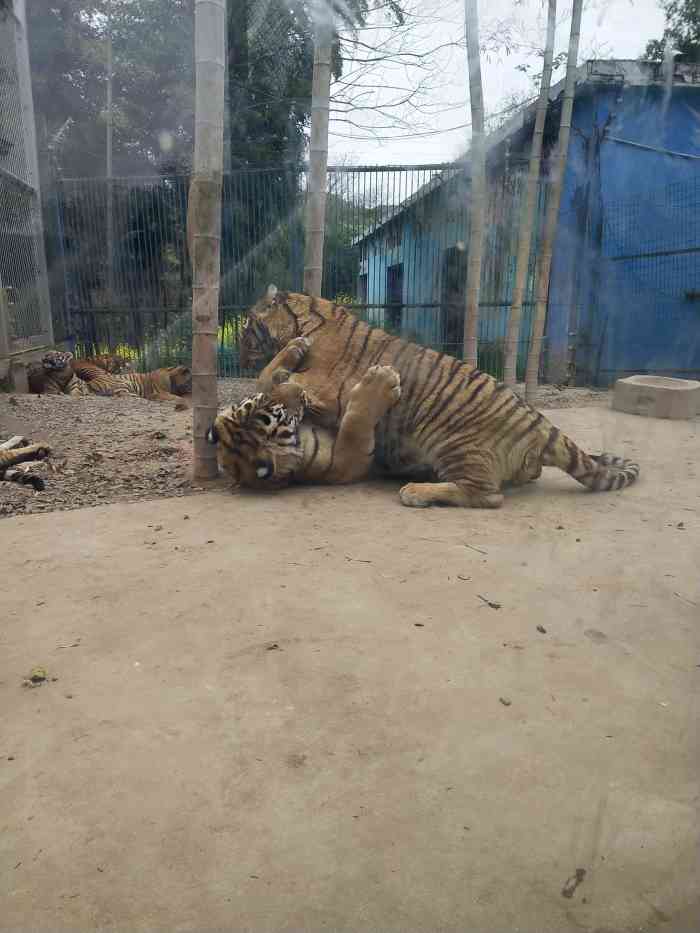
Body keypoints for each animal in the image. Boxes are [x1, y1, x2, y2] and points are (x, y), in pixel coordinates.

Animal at [208, 364, 402, 488]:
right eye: (283, 413)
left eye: (265, 396)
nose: (299, 388)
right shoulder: (345, 463)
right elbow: (355, 422)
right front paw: (382, 378)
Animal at [238, 286, 644, 510]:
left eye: (246, 325)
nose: (238, 350)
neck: (306, 315)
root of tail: (541, 424)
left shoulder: (323, 385)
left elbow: (269, 377)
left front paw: (290, 355)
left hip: (454, 441)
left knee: (487, 495)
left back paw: (416, 492)